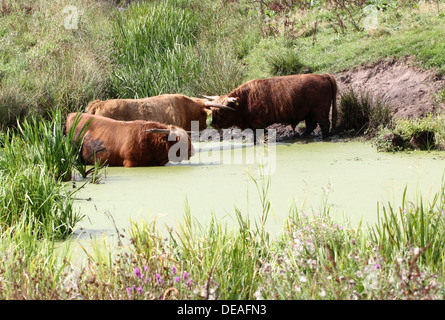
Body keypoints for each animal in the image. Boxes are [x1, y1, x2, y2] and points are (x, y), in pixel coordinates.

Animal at [205, 74, 336, 143]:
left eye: (221, 110)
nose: (213, 124)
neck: (245, 101)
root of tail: (322, 76)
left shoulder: (258, 124)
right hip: (310, 113)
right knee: (311, 125)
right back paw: (303, 136)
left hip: (320, 111)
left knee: (324, 124)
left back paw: (324, 138)